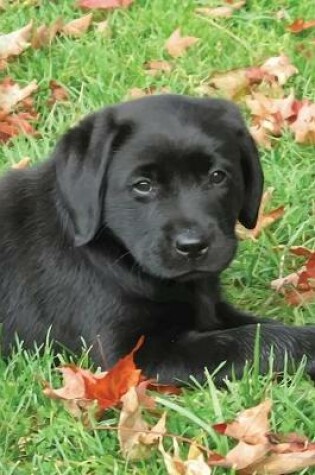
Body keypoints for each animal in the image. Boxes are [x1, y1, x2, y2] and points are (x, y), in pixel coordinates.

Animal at [0, 96, 315, 384]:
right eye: (143, 185)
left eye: (217, 176)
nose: (192, 246)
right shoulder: (134, 356)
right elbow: (248, 341)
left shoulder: (213, 312)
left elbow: (258, 326)